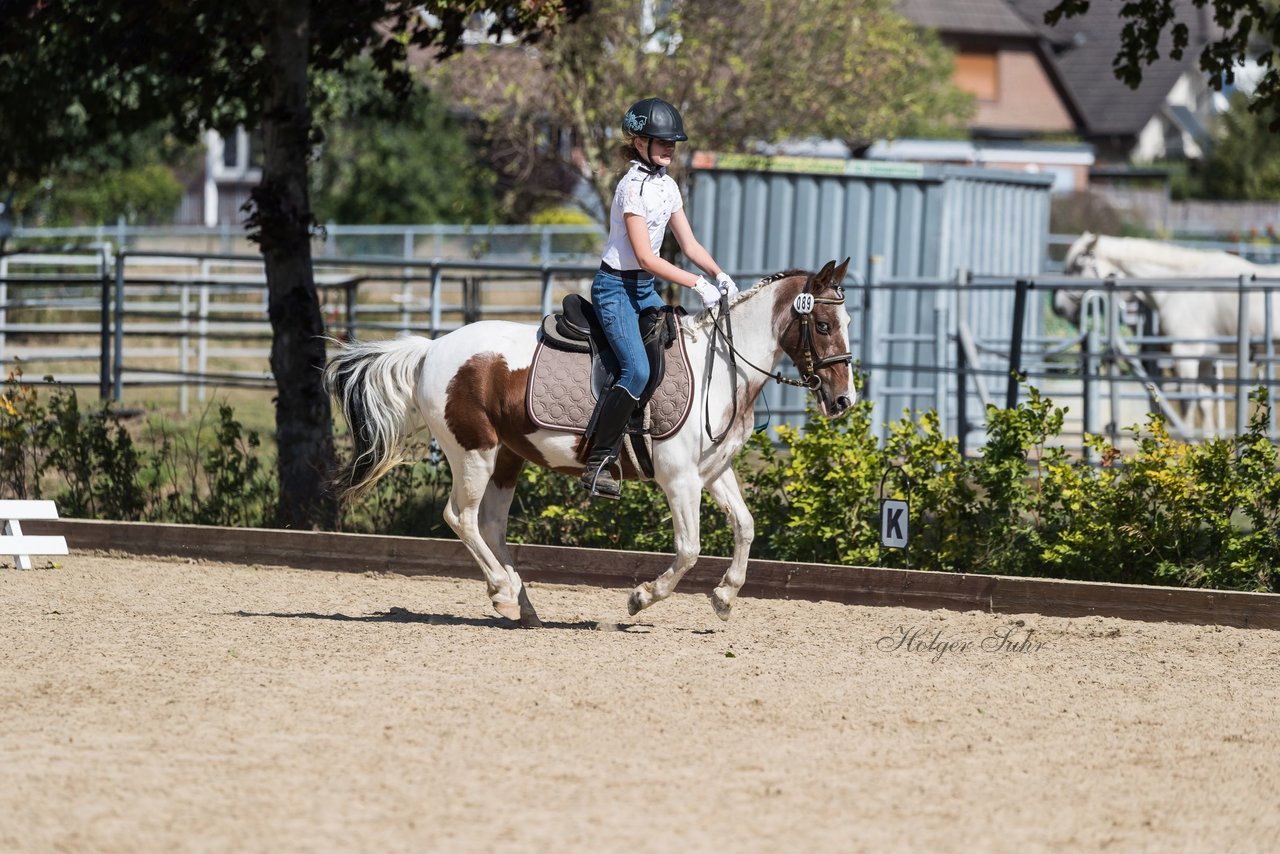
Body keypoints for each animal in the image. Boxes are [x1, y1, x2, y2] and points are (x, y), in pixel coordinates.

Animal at [325, 257, 855, 624]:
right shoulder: (679, 479)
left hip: (507, 458)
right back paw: (503, 593)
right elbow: (689, 548)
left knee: (491, 524)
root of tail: (432, 348)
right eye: (823, 325)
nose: (843, 400)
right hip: (473, 453)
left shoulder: (713, 472)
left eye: (846, 323)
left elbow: (745, 527)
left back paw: (523, 604)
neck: (722, 367)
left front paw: (724, 597)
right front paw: (641, 597)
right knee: (461, 517)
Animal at [1054, 230, 1280, 435]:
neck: (1184, 286)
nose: (1058, 308)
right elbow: (1205, 404)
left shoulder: (1186, 354)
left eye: (1077, 266)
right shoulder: (1206, 358)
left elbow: (1187, 404)